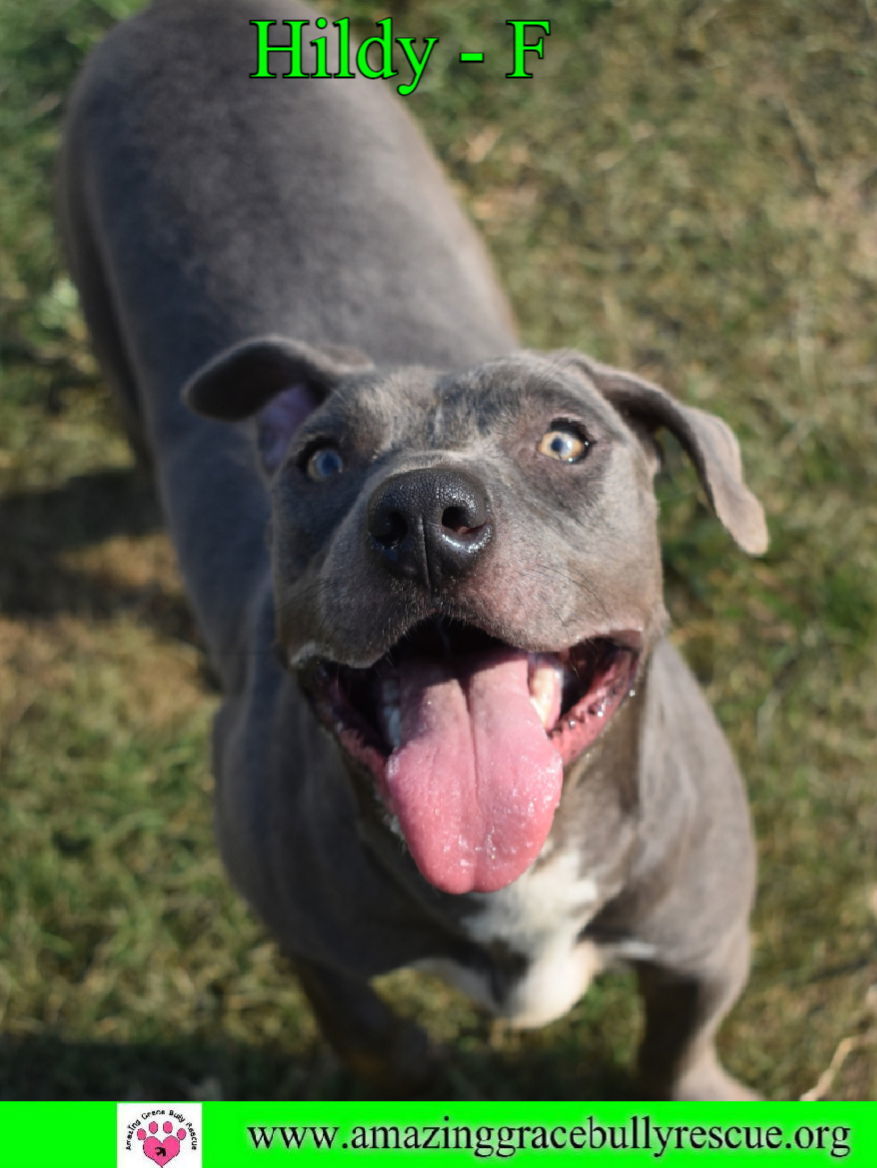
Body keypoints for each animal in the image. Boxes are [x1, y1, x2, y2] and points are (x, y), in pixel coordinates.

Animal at [58, 0, 766, 1097]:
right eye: (320, 459)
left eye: (565, 441)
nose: (426, 514)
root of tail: (191, 11)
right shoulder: (301, 932)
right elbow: (363, 1027)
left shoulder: (705, 946)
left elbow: (675, 1050)